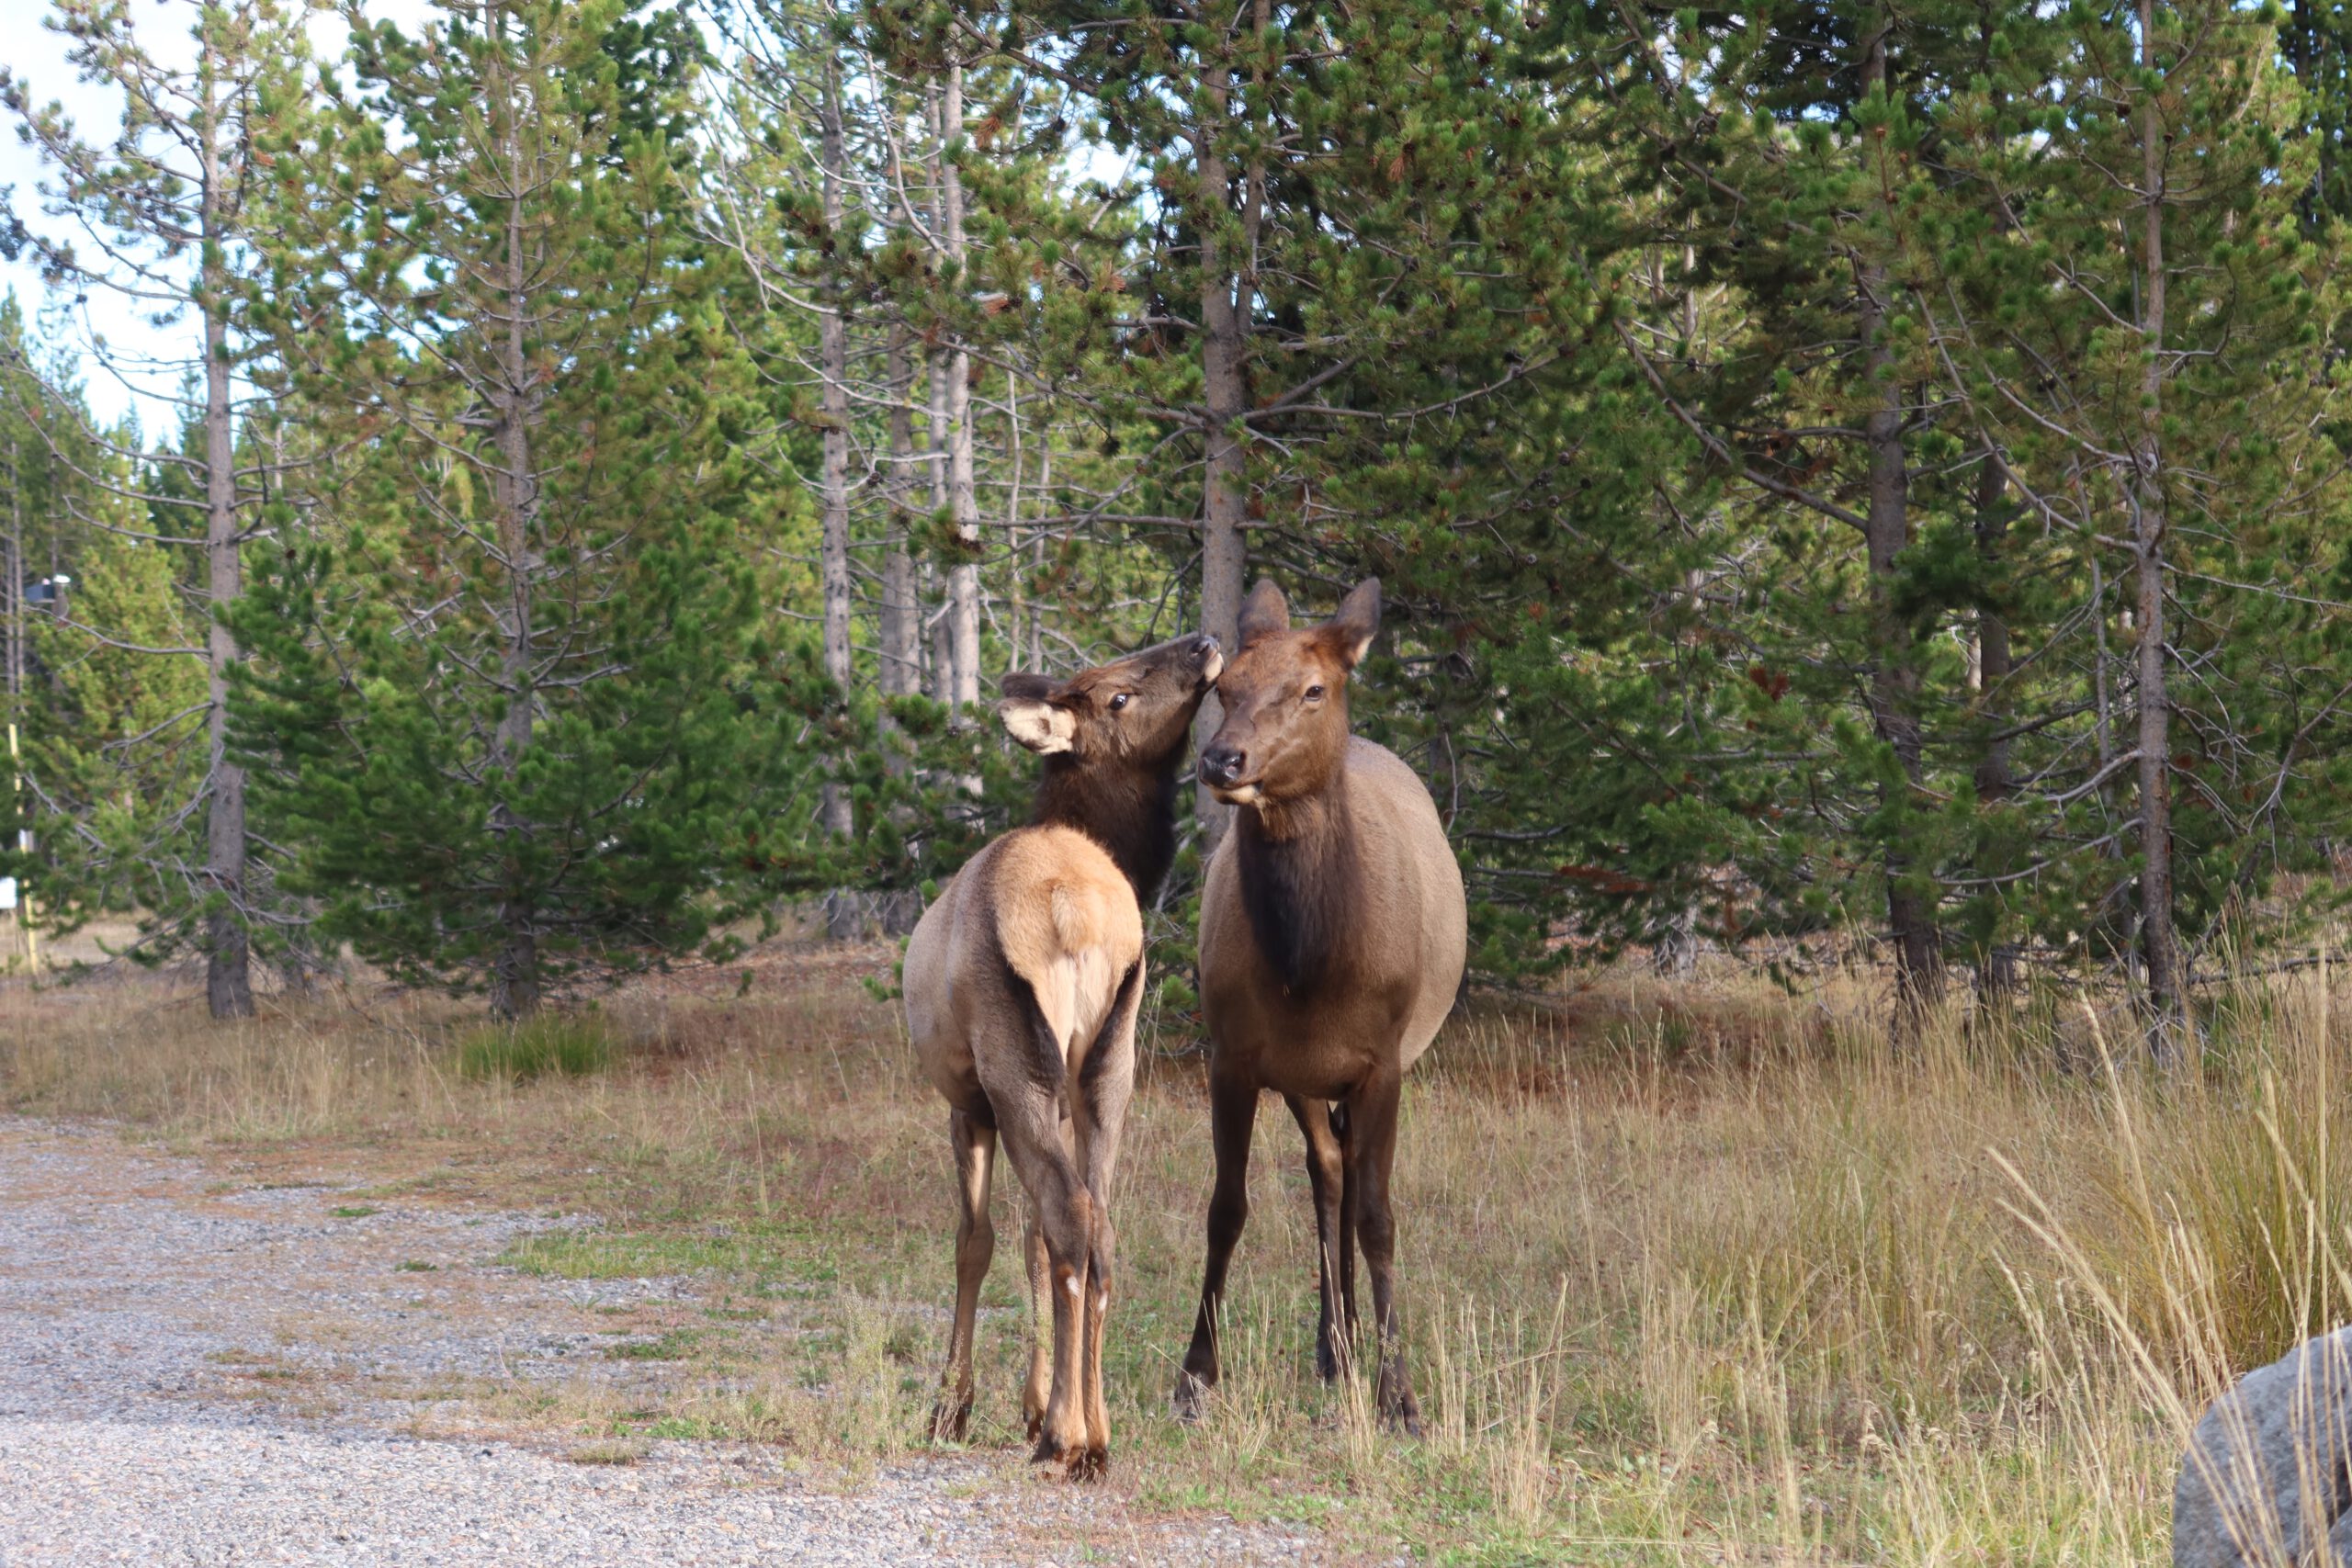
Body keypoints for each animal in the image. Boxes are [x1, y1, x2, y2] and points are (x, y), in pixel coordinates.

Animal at [904, 629, 1222, 1477]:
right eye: (1118, 691)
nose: (1205, 642)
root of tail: (1071, 908)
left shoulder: (969, 1101)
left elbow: (978, 1240)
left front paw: (957, 1404)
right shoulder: (1063, 1087)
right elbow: (1030, 1241)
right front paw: (1030, 1400)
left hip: (1018, 1066)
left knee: (1069, 1216)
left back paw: (1064, 1435)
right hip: (1110, 1063)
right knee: (1098, 1223)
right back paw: (1096, 1433)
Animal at [1173, 578, 1466, 1434]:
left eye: (1312, 689)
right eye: (1224, 685)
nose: (1222, 758)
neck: (1310, 965)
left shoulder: (1382, 1062)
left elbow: (1380, 1218)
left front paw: (1402, 1394)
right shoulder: (1235, 1056)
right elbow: (1227, 1206)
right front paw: (1195, 1374)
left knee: (1351, 1179)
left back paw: (1352, 1344)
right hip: (1302, 1076)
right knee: (1328, 1168)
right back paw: (1333, 1343)